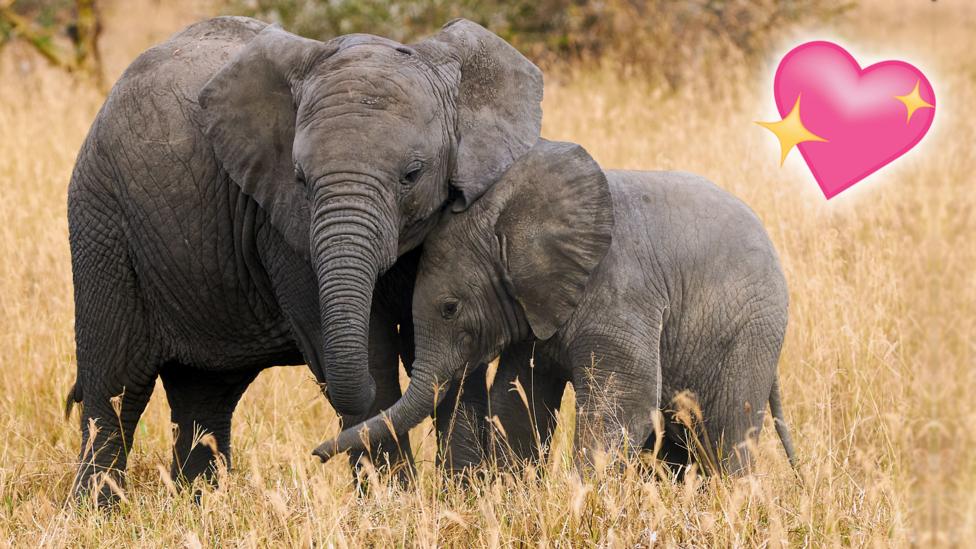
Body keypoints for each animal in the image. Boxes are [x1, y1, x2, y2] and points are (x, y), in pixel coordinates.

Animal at [68, 13, 540, 500]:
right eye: (300, 178)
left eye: (413, 174)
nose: (316, 454)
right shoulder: (281, 227)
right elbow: (373, 354)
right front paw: (394, 503)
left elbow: (455, 349)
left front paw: (467, 497)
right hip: (102, 224)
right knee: (116, 387)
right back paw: (99, 509)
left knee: (204, 395)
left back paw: (198, 503)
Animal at [316, 139, 796, 474]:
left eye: (450, 308)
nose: (316, 454)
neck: (511, 217)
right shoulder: (533, 308)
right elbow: (517, 401)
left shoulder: (620, 292)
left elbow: (623, 405)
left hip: (752, 331)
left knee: (728, 433)